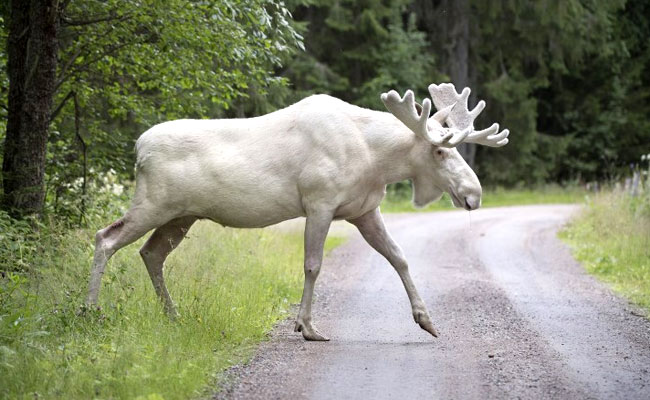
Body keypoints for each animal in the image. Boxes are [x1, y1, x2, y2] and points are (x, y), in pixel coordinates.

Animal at [86, 83, 508, 340]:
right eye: (439, 150)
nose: (474, 194)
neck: (376, 159)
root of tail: (138, 148)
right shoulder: (319, 202)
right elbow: (313, 265)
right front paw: (306, 326)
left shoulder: (364, 210)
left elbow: (400, 257)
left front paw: (426, 320)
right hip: (153, 203)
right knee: (105, 238)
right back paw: (89, 310)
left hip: (181, 215)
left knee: (151, 253)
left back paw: (172, 315)